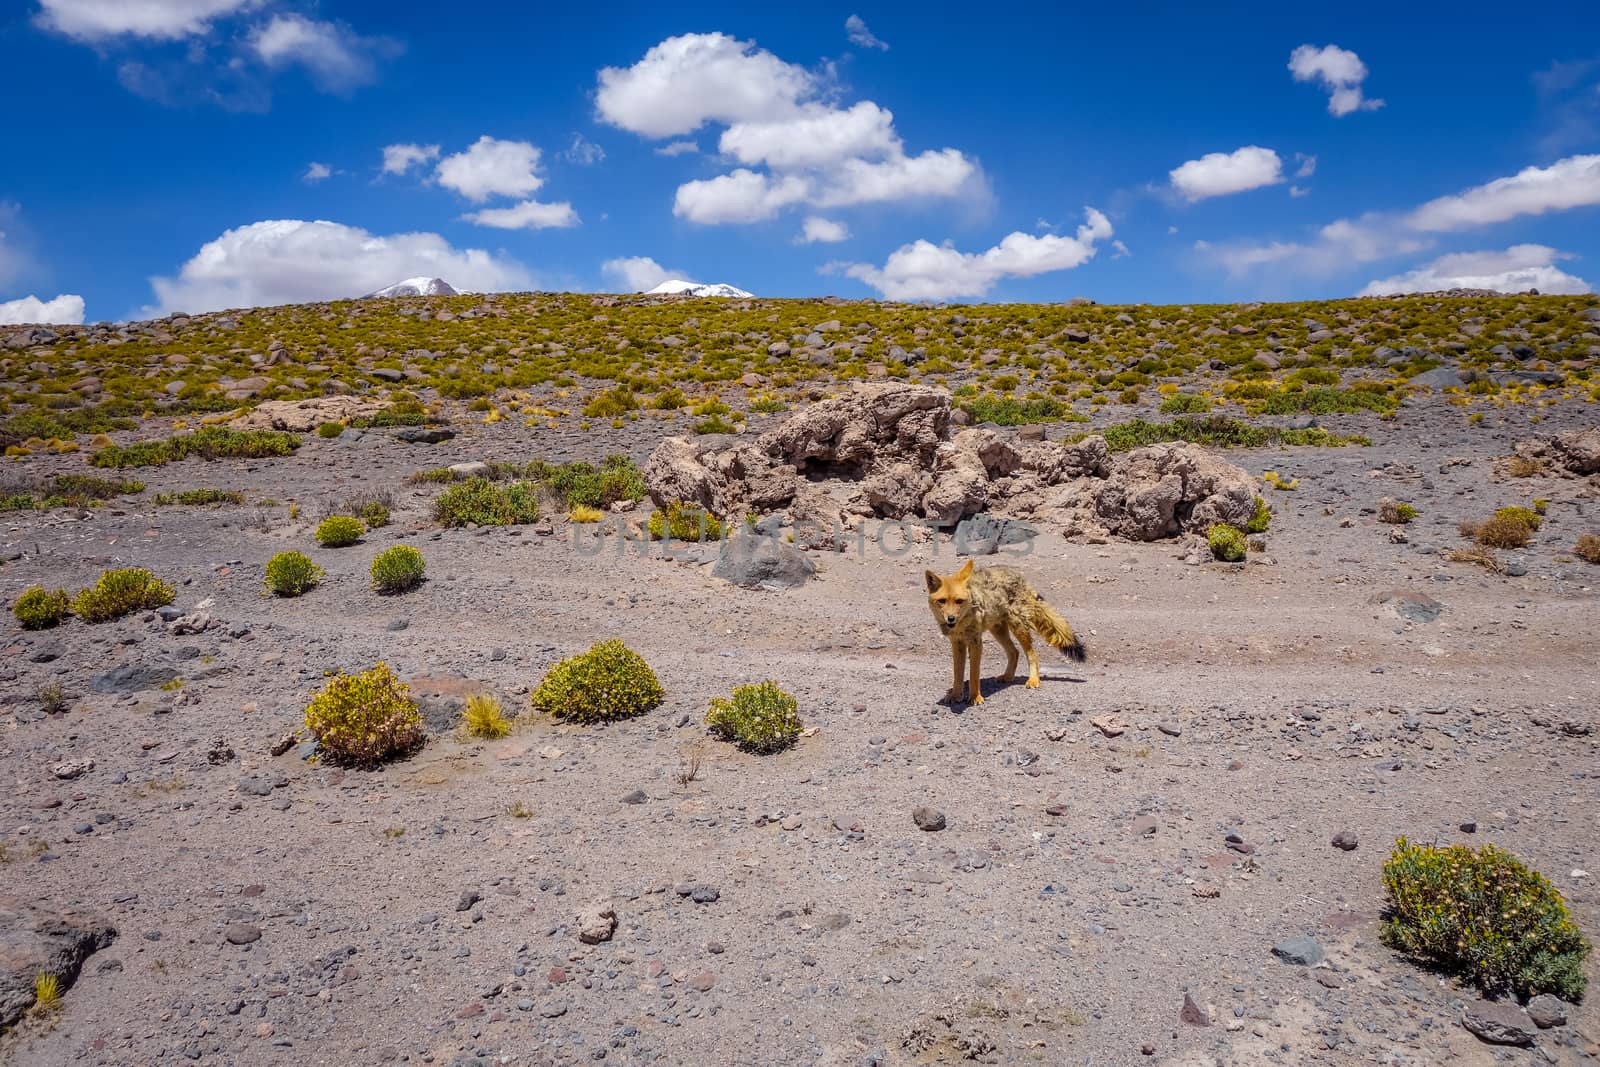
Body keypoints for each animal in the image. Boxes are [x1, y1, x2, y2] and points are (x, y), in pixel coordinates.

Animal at [928, 559, 1088, 710]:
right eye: (942, 601)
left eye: (959, 601)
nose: (950, 619)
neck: (961, 625)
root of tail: (1018, 576)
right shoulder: (957, 643)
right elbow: (958, 673)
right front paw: (955, 695)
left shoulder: (975, 642)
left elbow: (974, 674)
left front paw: (975, 697)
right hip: (998, 631)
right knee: (1014, 652)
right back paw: (1008, 676)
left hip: (1018, 627)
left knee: (1031, 654)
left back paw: (1033, 680)